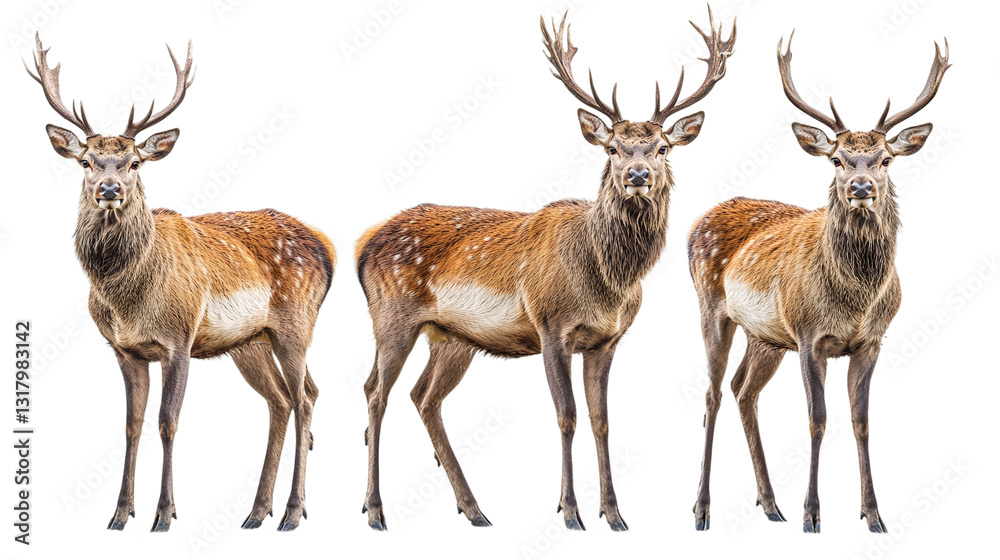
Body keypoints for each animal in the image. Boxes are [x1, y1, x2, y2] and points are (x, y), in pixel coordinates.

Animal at [25, 34, 336, 532]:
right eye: (87, 161)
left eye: (134, 162)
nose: (109, 189)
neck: (128, 301)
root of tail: (328, 248)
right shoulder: (125, 350)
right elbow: (131, 424)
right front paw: (119, 514)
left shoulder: (179, 338)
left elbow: (167, 422)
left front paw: (164, 514)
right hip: (251, 342)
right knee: (282, 399)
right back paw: (257, 511)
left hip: (295, 324)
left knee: (305, 397)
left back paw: (291, 512)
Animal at [355, 8, 735, 531]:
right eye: (611, 148)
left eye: (662, 148)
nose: (637, 176)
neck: (608, 281)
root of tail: (364, 243)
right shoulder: (551, 325)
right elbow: (566, 415)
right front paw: (570, 511)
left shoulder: (607, 340)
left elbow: (601, 420)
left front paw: (615, 514)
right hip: (392, 318)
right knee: (376, 391)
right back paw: (375, 510)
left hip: (451, 338)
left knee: (423, 396)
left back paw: (475, 509)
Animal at [687, 32, 949, 533]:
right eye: (837, 160)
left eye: (886, 159)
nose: (862, 187)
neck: (855, 299)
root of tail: (697, 222)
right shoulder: (810, 335)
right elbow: (817, 419)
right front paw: (813, 514)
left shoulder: (871, 341)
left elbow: (861, 421)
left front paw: (873, 515)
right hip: (712, 308)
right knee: (711, 393)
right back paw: (702, 508)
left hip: (766, 337)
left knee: (743, 390)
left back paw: (770, 504)